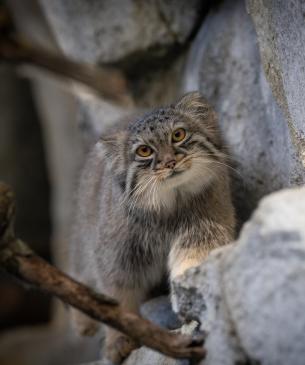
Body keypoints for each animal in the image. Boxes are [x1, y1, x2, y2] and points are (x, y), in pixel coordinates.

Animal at [69, 91, 235, 362]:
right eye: (144, 151)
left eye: (178, 135)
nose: (169, 162)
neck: (167, 208)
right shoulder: (117, 255)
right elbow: (117, 296)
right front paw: (118, 340)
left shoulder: (204, 228)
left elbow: (192, 260)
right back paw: (82, 321)